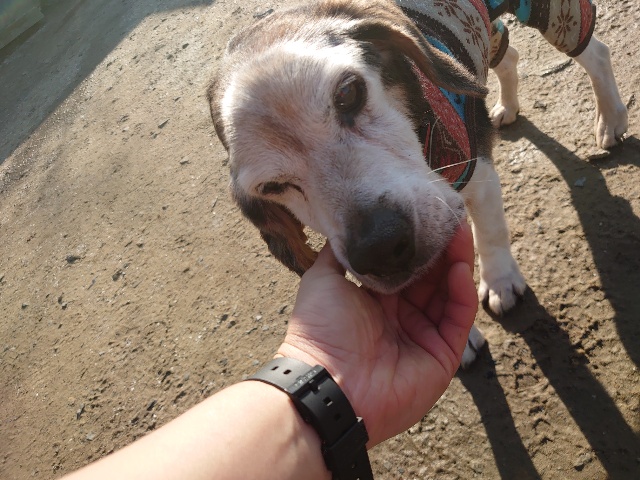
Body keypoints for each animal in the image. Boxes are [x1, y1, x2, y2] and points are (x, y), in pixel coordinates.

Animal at [208, 0, 628, 367]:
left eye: (348, 92)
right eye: (271, 187)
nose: (379, 248)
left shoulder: (478, 173)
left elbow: (491, 235)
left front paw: (500, 282)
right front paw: (458, 340)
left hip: (554, 15)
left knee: (596, 52)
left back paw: (610, 119)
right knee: (506, 57)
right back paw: (507, 107)